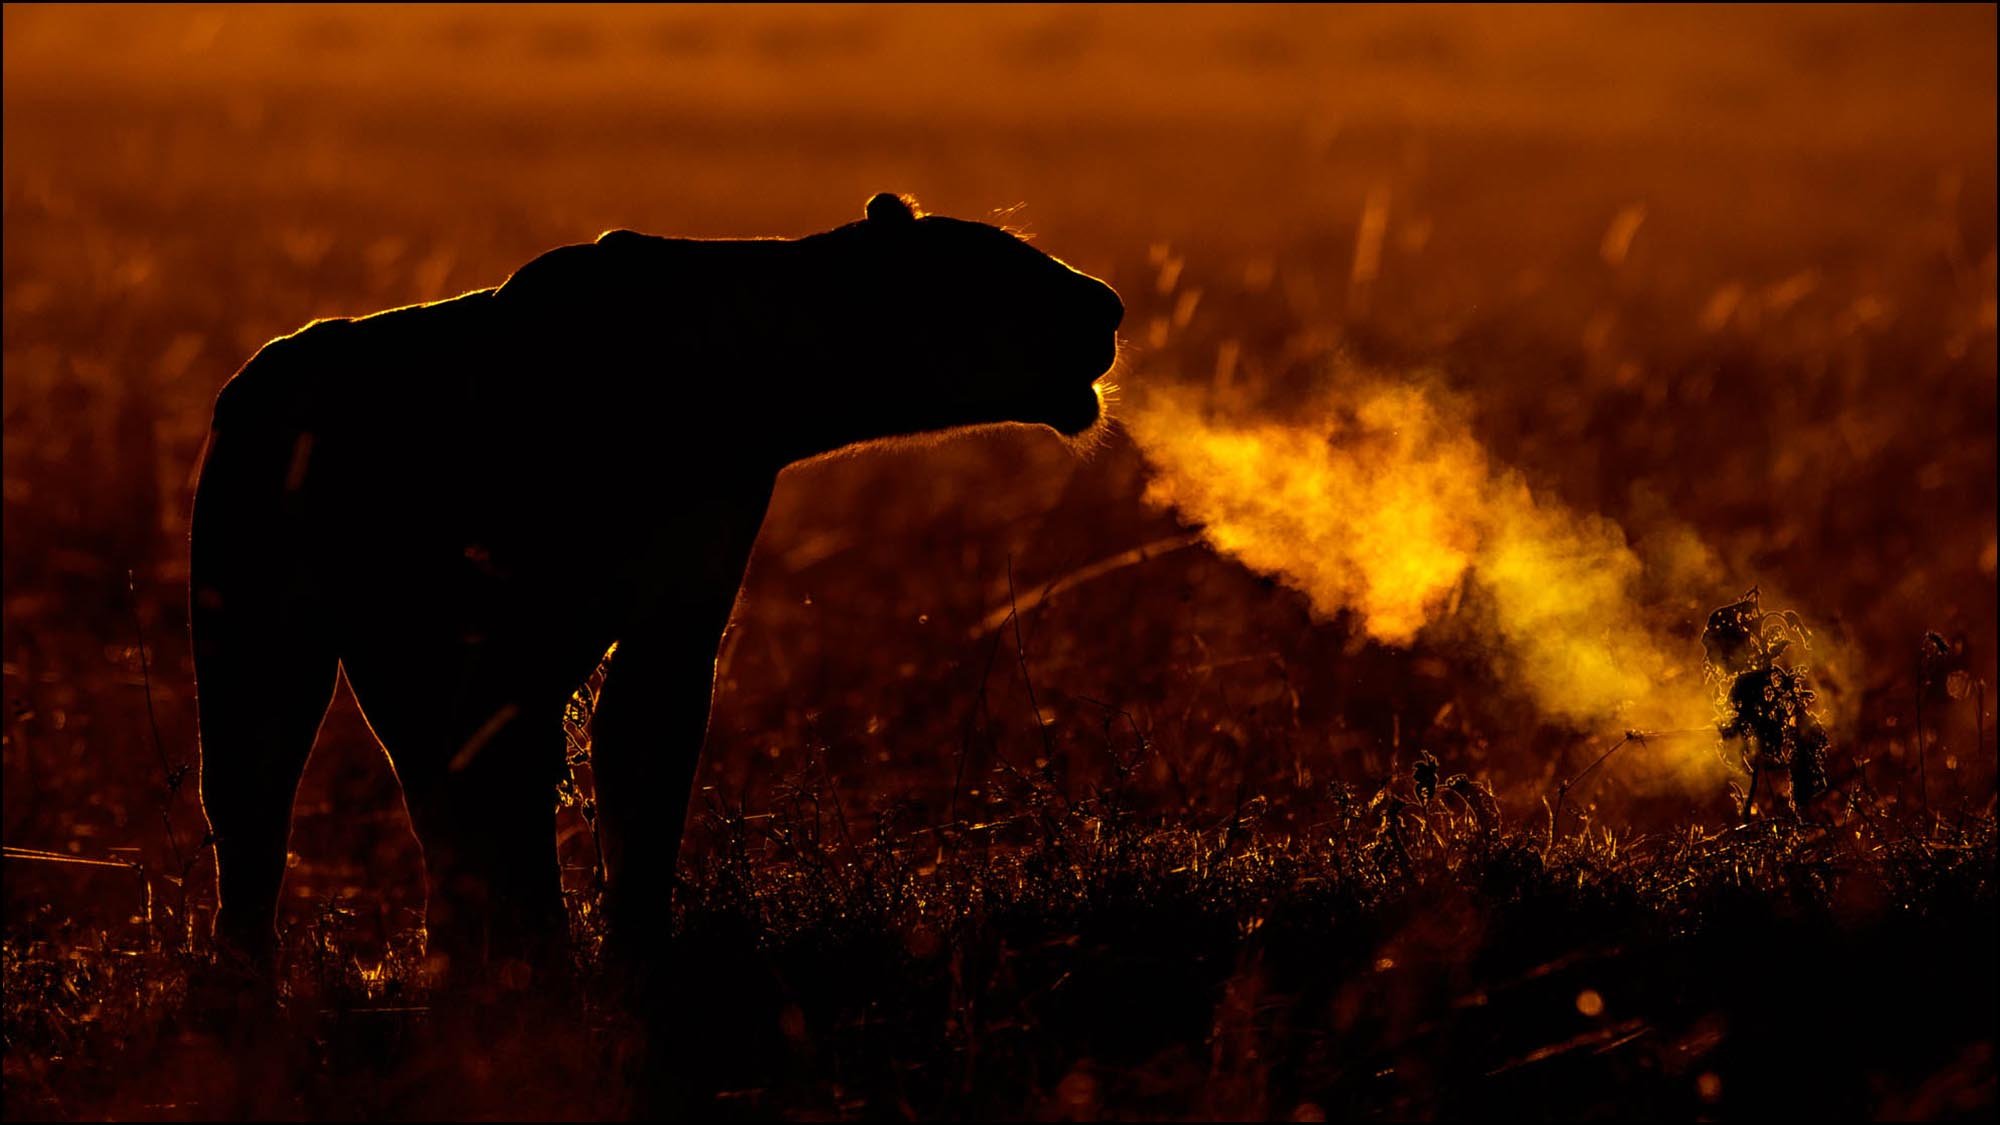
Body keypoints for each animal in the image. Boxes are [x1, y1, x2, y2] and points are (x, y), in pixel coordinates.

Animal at [190, 193, 1123, 992]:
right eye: (1001, 263)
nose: (1109, 306)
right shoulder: (519, 640)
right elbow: (519, 799)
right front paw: (542, 975)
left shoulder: (677, 613)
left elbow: (641, 775)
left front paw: (625, 962)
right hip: (261, 642)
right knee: (254, 813)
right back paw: (248, 995)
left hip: (396, 659)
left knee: (428, 800)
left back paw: (445, 963)